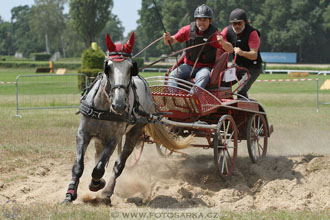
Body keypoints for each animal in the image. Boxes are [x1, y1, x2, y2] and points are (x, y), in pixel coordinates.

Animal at [63, 33, 189, 205]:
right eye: (108, 67)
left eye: (131, 68)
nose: (119, 104)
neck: (104, 107)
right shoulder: (83, 133)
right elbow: (78, 165)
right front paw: (70, 194)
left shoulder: (113, 138)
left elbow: (99, 169)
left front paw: (97, 184)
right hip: (99, 138)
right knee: (99, 156)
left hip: (134, 132)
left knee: (119, 164)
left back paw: (107, 192)